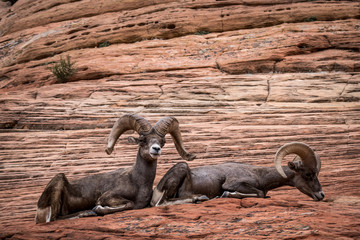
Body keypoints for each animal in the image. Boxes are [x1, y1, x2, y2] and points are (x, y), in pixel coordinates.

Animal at [35, 114, 195, 223]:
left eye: (162, 142)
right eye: (142, 140)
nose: (156, 149)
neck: (138, 181)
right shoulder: (107, 197)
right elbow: (129, 203)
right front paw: (99, 209)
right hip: (59, 179)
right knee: (54, 218)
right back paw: (87, 213)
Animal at [150, 142, 324, 206]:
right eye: (308, 174)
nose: (321, 195)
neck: (260, 176)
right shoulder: (233, 183)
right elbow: (259, 194)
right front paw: (227, 194)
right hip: (182, 167)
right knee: (162, 203)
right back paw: (199, 198)